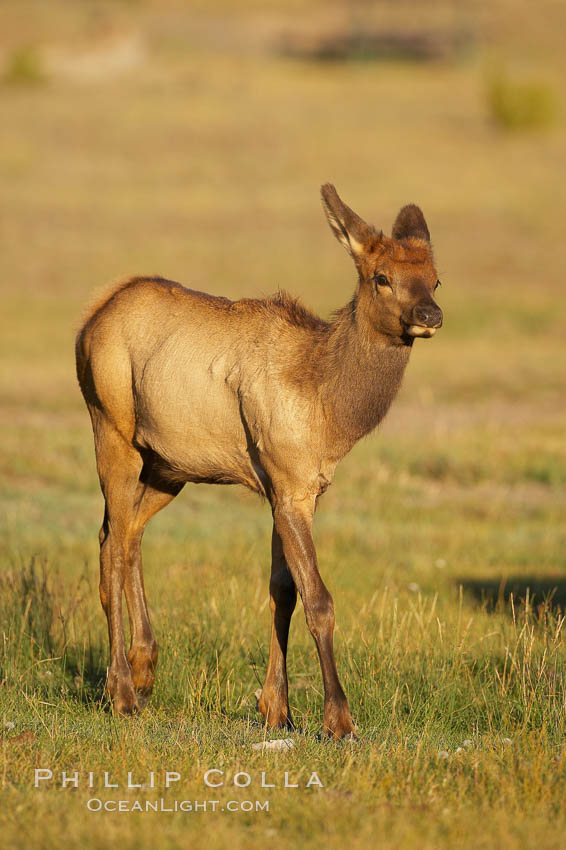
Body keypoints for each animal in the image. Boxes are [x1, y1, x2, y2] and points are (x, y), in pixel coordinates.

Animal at [75, 184, 444, 736]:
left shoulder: (294, 488)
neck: (328, 408)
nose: (430, 315)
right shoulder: (288, 483)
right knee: (115, 543)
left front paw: (276, 709)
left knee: (121, 534)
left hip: (167, 465)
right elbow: (318, 599)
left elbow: (282, 591)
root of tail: (90, 318)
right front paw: (338, 718)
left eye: (436, 277)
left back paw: (144, 669)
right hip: (111, 427)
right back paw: (120, 691)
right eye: (381, 277)